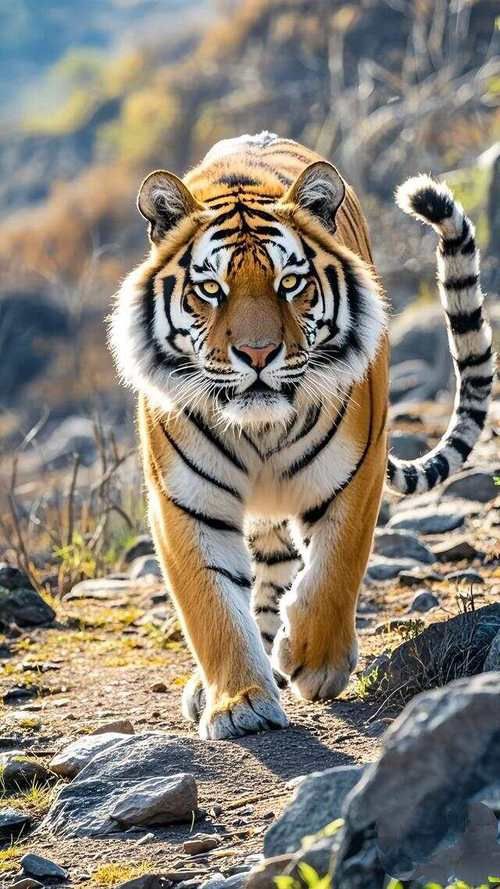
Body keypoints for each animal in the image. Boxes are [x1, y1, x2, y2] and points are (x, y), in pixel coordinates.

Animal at [110, 131, 494, 740]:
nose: (258, 353)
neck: (260, 428)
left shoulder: (355, 474)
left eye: (289, 283)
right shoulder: (183, 503)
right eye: (210, 289)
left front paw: (312, 661)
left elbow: (334, 574)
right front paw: (239, 702)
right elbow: (213, 605)